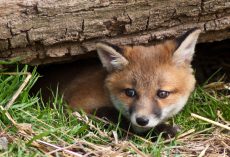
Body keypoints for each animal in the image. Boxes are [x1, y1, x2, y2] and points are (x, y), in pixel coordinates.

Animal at [36, 28, 200, 134]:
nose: (142, 120)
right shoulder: (75, 106)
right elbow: (116, 118)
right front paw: (162, 130)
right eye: (130, 92)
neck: (104, 92)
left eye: (162, 94)